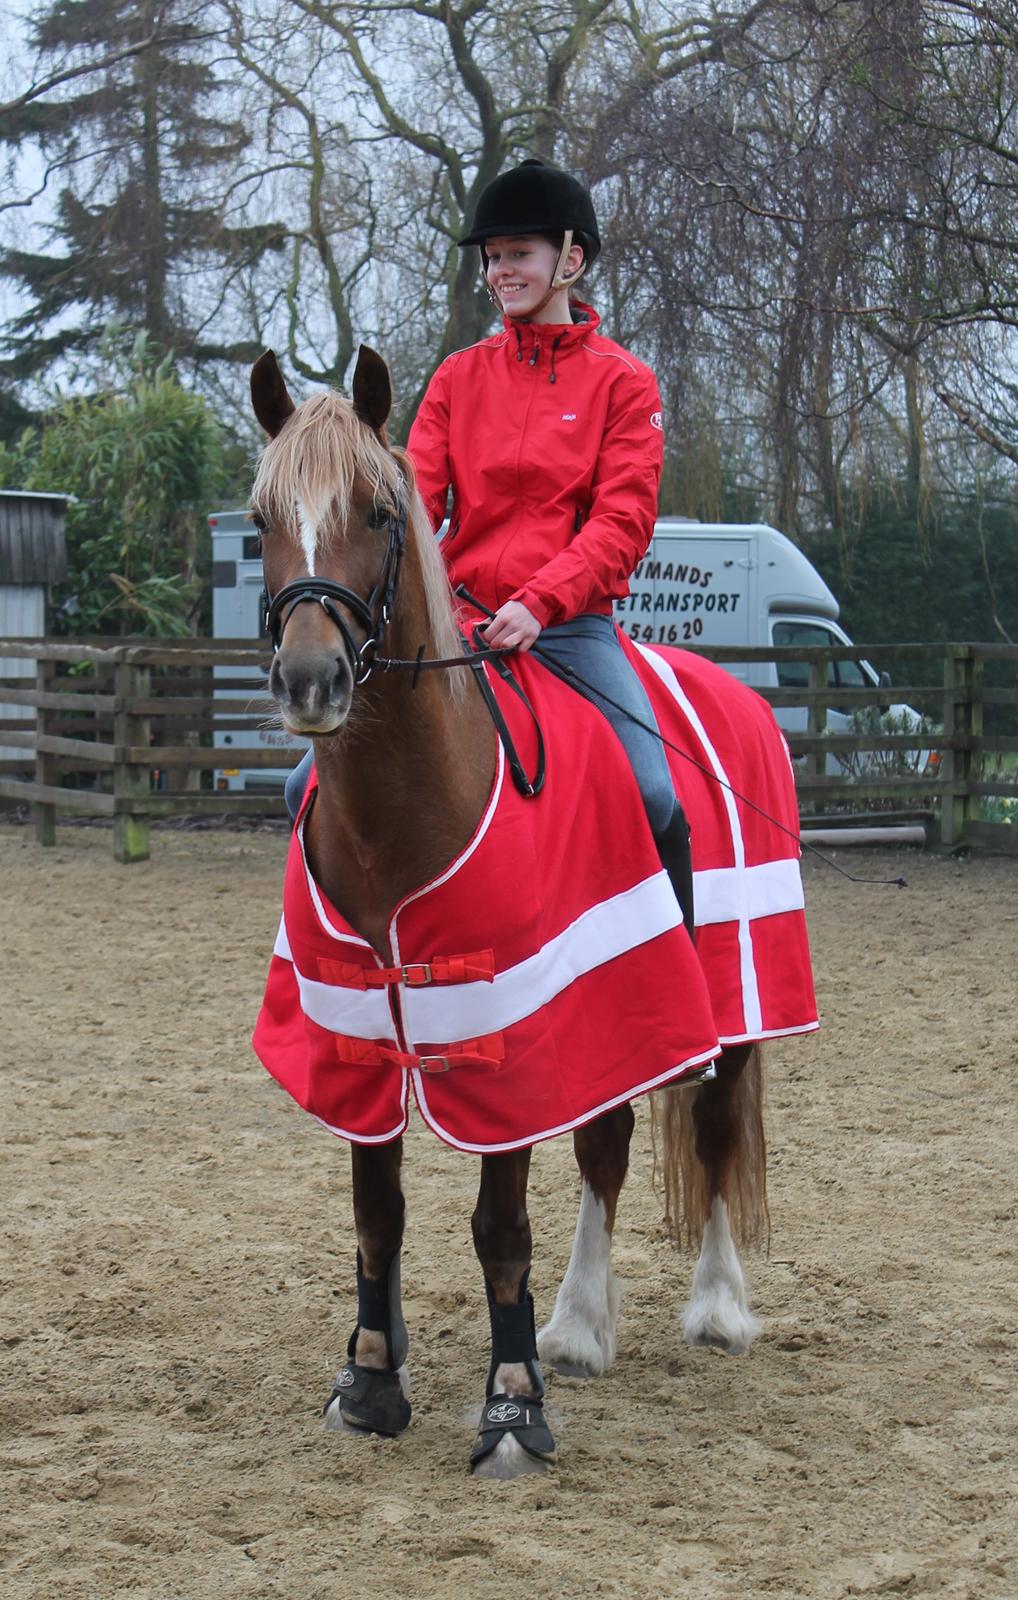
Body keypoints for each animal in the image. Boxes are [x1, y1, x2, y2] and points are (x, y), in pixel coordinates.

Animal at [248, 344, 819, 1478]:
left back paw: (715, 1308)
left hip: (724, 1018)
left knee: (714, 1136)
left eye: (379, 510)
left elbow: (497, 1227)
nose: (309, 679)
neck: (411, 809)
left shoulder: (504, 1031)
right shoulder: (358, 1027)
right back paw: (582, 1323)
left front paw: (511, 1408)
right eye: (260, 516)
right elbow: (377, 1209)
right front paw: (372, 1378)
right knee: (605, 1148)